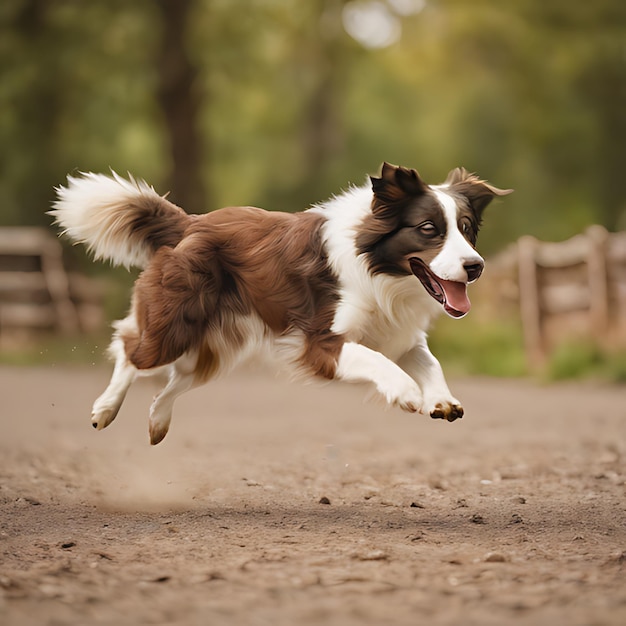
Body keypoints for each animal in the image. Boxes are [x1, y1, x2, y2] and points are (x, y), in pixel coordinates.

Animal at [51, 163, 510, 442]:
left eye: (466, 229)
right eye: (428, 229)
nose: (475, 267)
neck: (378, 270)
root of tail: (190, 222)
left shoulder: (397, 333)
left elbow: (428, 360)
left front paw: (441, 399)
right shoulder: (322, 342)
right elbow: (378, 361)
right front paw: (406, 392)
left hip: (219, 345)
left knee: (175, 380)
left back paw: (158, 421)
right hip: (176, 325)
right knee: (130, 348)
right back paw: (105, 409)